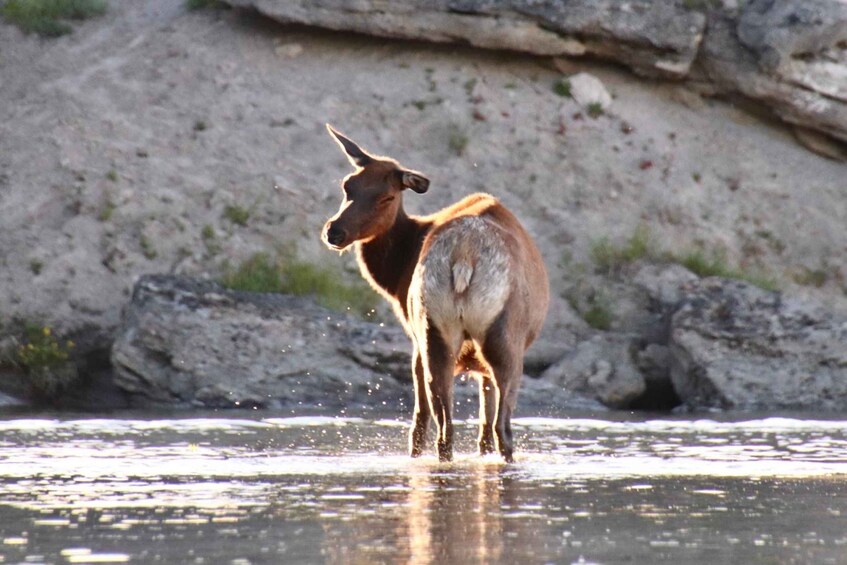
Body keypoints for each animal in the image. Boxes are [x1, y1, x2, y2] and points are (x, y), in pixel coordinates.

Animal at [321, 125, 549, 463]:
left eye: (387, 197)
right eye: (348, 186)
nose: (334, 231)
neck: (395, 276)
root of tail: (464, 255)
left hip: (436, 330)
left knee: (448, 429)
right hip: (496, 336)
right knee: (496, 429)